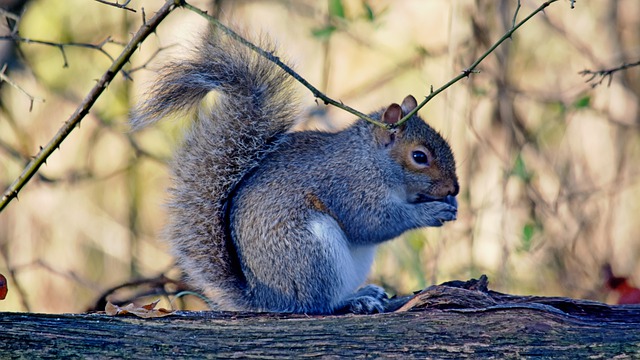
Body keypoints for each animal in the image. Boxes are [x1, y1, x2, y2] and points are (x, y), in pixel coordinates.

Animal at [131, 28, 460, 316]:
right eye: (419, 156)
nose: (454, 189)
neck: (371, 159)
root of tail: (265, 298)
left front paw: (450, 204)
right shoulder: (349, 186)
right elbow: (373, 222)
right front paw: (429, 213)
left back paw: (366, 291)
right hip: (312, 254)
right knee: (318, 304)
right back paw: (354, 300)